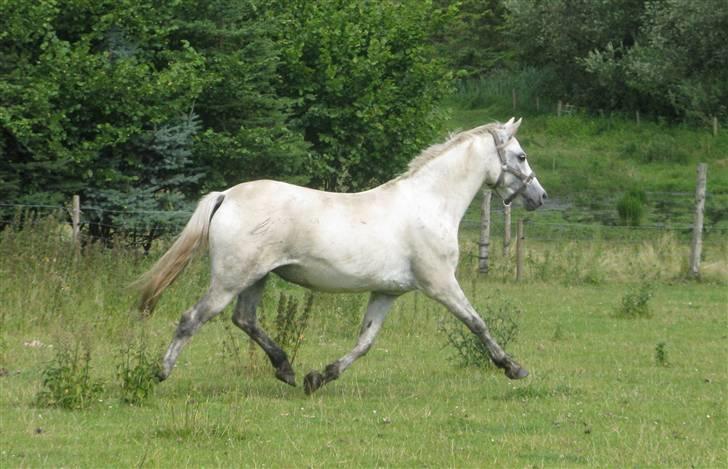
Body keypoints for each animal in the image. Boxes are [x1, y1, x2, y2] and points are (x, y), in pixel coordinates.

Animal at [136, 117, 547, 394]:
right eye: (521, 156)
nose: (539, 197)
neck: (430, 204)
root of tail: (226, 195)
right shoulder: (441, 283)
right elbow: (477, 323)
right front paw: (514, 368)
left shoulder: (387, 292)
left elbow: (364, 342)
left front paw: (319, 377)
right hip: (230, 279)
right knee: (192, 319)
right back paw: (160, 373)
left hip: (256, 278)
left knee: (245, 319)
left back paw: (286, 370)